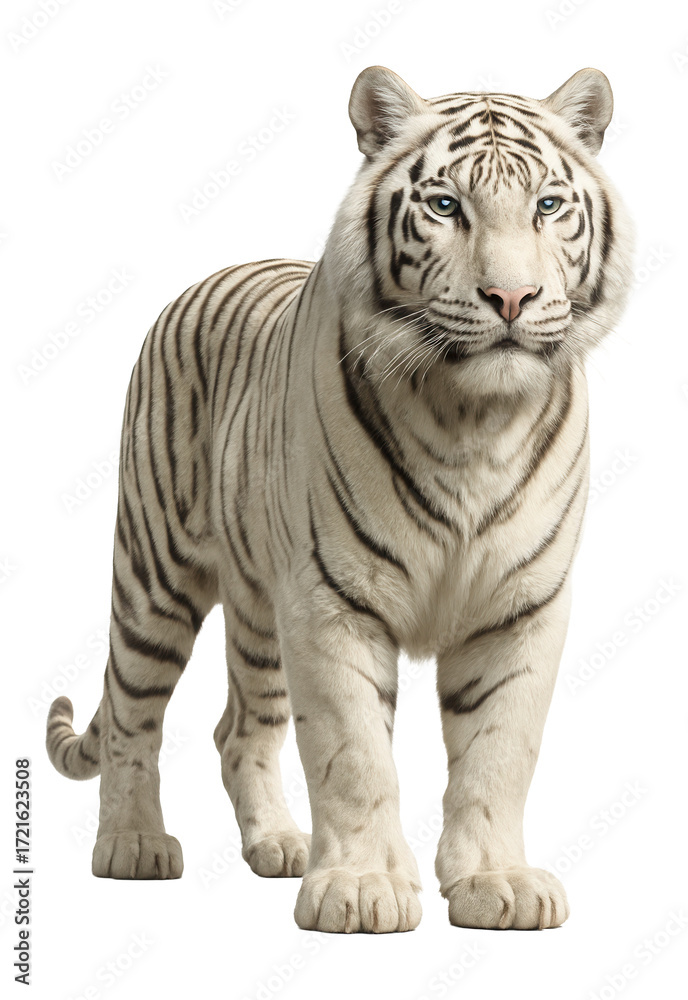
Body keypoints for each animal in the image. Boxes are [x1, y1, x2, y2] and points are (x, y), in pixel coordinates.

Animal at [46, 65, 633, 933]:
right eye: (445, 205)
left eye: (549, 206)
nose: (512, 297)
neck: (476, 419)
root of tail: (205, 276)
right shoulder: (331, 599)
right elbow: (354, 754)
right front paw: (360, 888)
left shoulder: (521, 604)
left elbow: (500, 751)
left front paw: (496, 881)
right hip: (154, 574)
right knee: (130, 710)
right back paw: (132, 845)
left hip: (260, 614)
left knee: (238, 731)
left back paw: (278, 845)